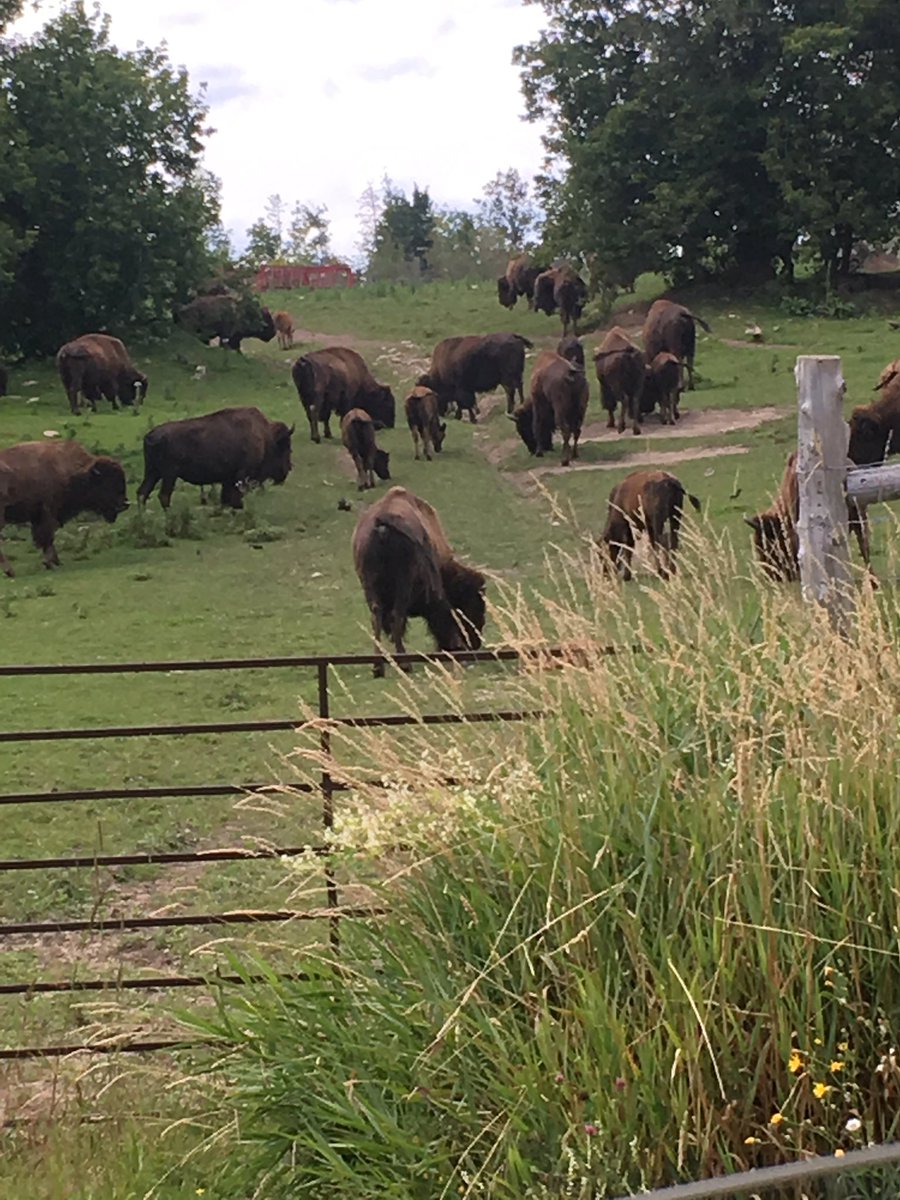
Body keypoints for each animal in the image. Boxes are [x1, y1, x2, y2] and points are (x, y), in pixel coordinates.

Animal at [0, 440, 128, 578]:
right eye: (108, 481)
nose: (125, 504)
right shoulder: (48, 513)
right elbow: (47, 538)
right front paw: (49, 563)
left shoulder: (41, 517)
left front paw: (56, 562)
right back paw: (10, 571)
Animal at [137, 406, 293, 510]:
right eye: (286, 449)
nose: (288, 469)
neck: (265, 437)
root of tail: (151, 435)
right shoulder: (242, 475)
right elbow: (235, 496)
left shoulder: (228, 479)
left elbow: (226, 498)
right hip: (169, 474)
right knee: (164, 495)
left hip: (152, 472)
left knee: (142, 492)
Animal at [352, 486, 487, 678]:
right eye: (473, 605)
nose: (475, 644)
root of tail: (383, 525)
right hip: (403, 583)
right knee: (397, 617)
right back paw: (405, 664)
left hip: (369, 585)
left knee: (376, 618)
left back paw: (378, 668)